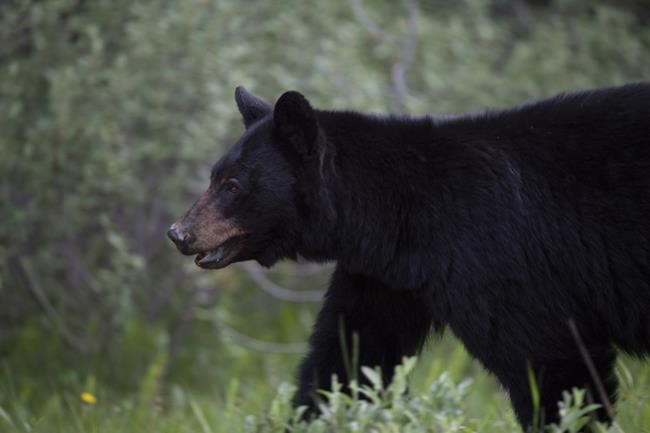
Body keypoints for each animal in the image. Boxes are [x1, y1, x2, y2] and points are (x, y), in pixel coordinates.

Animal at [168, 83, 650, 430]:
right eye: (213, 176)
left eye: (233, 185)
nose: (178, 234)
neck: (402, 213)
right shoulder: (386, 277)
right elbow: (350, 359)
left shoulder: (499, 259)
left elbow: (550, 362)